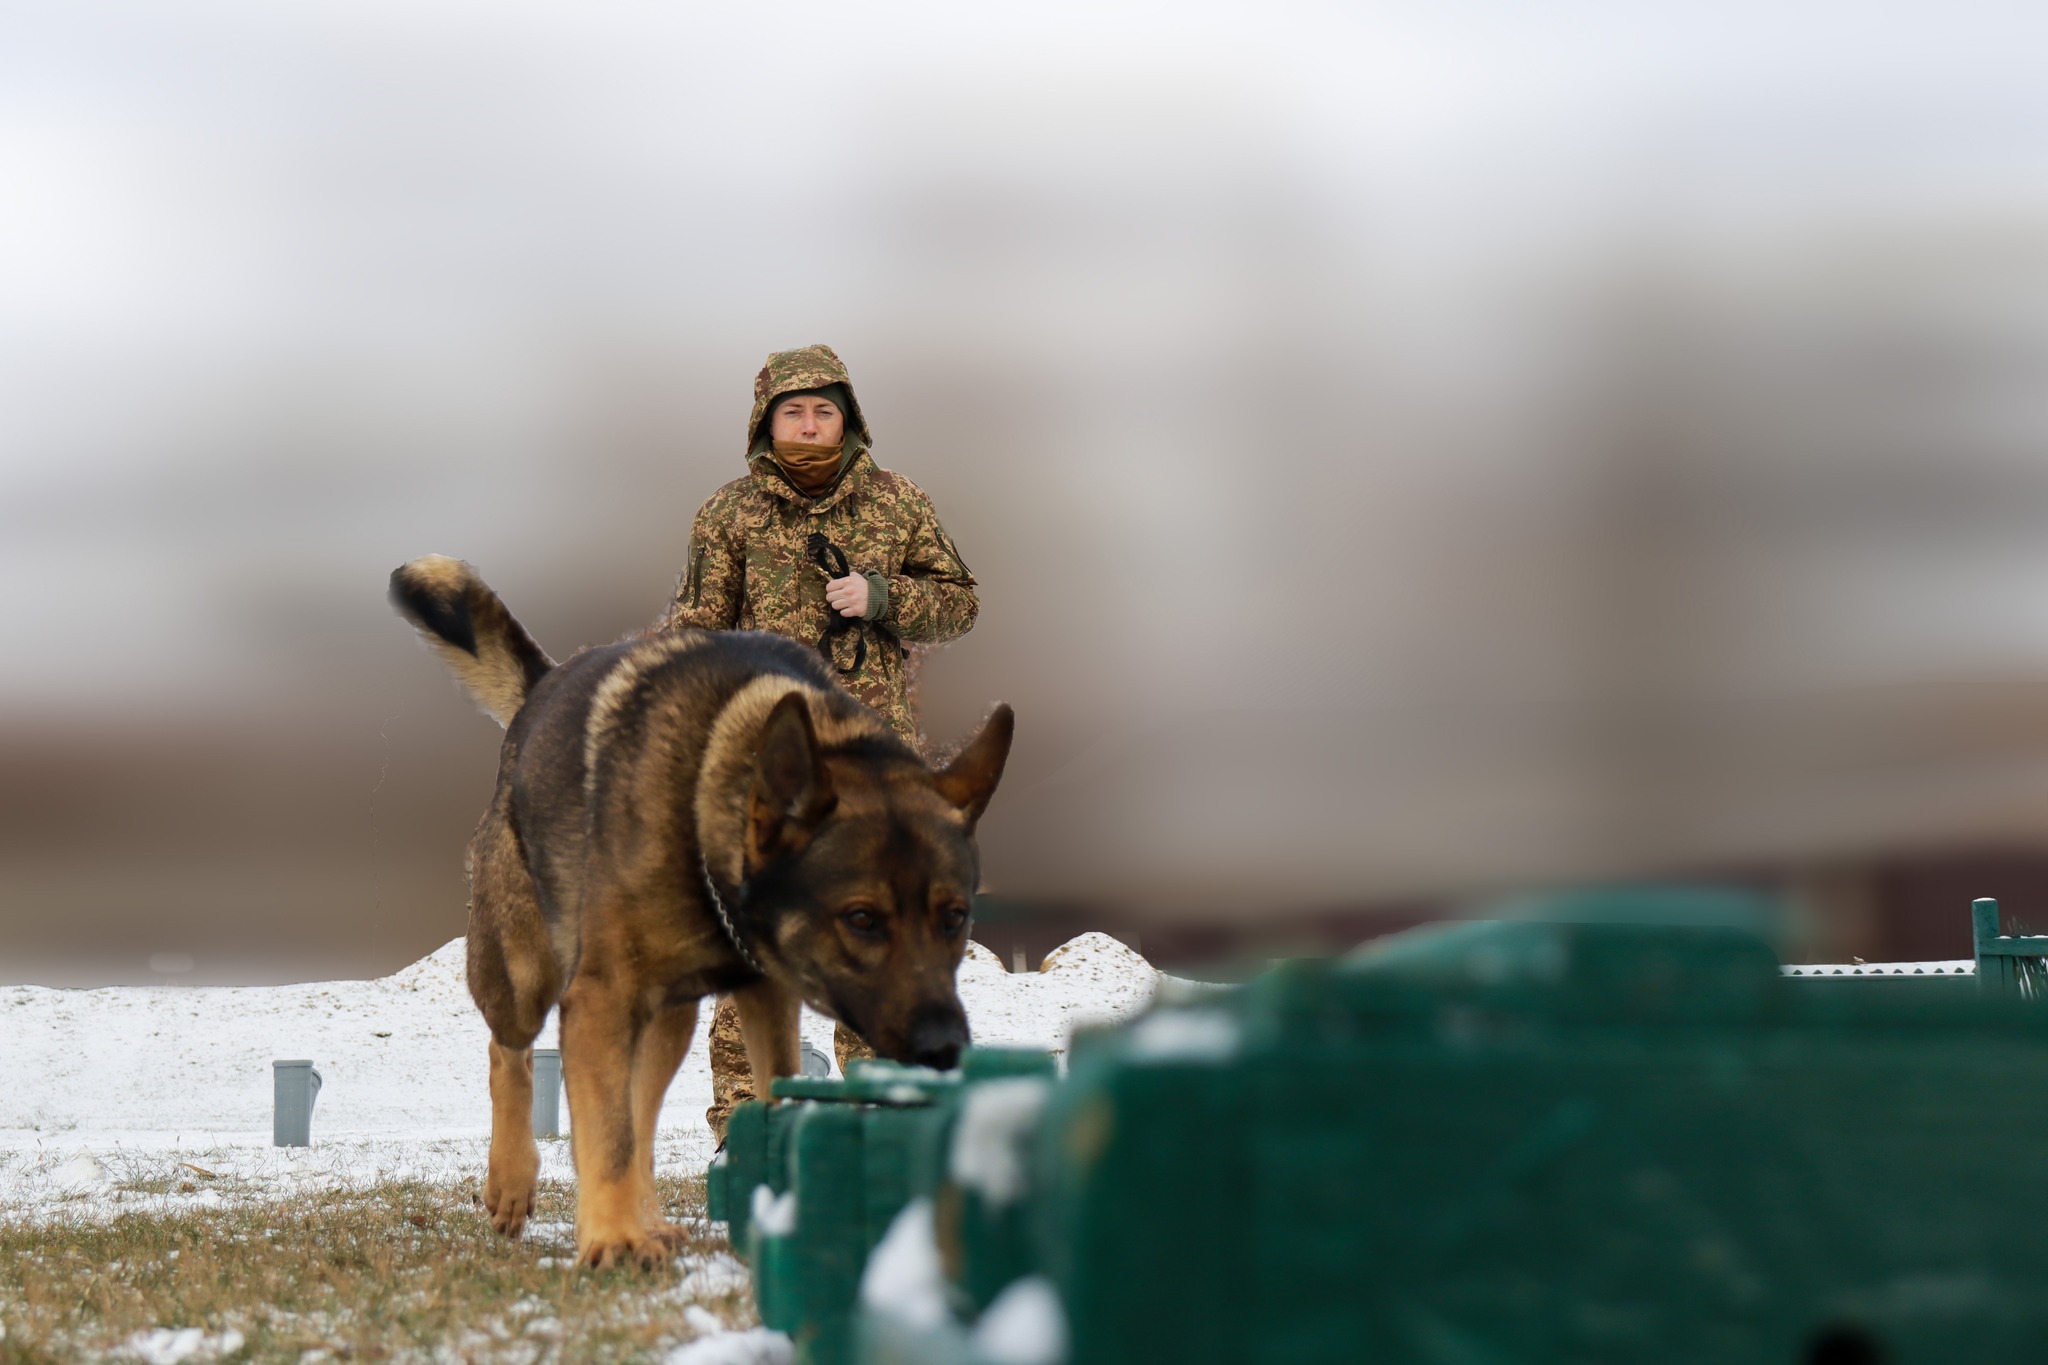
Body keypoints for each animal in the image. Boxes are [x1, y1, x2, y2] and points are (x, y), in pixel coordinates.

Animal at [385, 552, 1007, 1268]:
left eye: (954, 917)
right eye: (861, 919)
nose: (945, 1049)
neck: (705, 804)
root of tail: (544, 686)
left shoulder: (767, 999)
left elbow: (762, 1093)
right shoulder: (601, 996)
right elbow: (609, 1131)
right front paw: (609, 1240)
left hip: (667, 1021)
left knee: (639, 1111)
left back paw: (647, 1222)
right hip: (525, 970)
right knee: (510, 1053)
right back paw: (514, 1185)